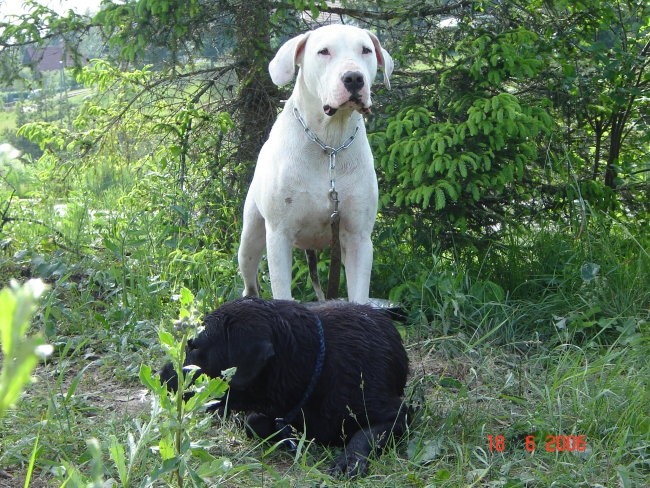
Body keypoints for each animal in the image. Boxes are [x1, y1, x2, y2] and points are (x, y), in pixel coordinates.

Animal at [158, 296, 408, 474]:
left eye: (194, 346)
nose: (161, 375)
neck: (316, 366)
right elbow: (254, 422)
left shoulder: (398, 413)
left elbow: (365, 435)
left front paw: (350, 460)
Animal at [237, 25, 390, 304]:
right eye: (324, 51)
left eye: (365, 50)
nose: (354, 78)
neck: (329, 144)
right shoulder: (279, 236)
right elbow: (282, 292)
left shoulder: (358, 238)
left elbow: (359, 295)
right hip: (250, 239)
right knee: (249, 278)